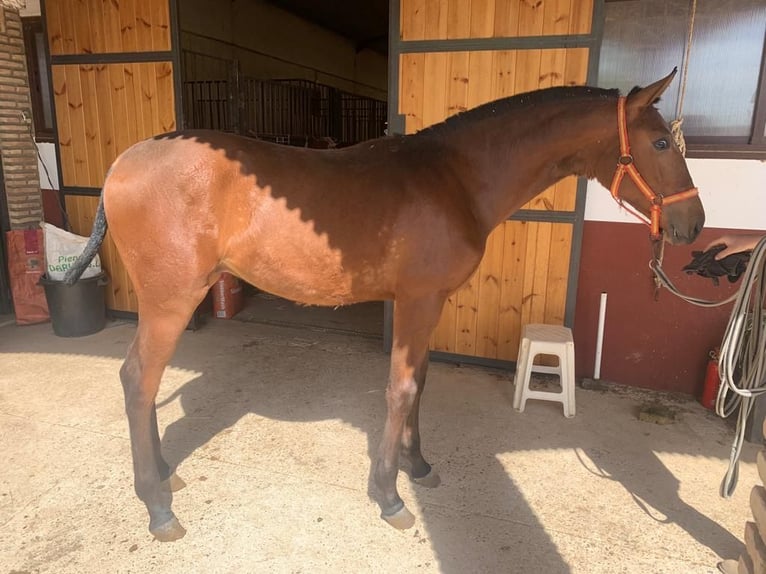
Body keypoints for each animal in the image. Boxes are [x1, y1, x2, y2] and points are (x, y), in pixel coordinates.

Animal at [66, 70, 708, 544]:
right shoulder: (417, 301)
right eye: (659, 142)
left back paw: (161, 476)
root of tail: (125, 162)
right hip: (170, 300)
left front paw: (416, 465)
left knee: (143, 384)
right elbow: (400, 388)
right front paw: (389, 494)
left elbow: (420, 381)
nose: (693, 225)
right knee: (138, 380)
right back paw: (156, 505)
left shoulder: (428, 302)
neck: (455, 178)